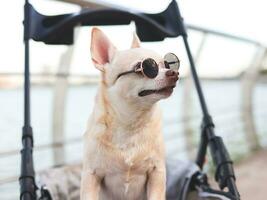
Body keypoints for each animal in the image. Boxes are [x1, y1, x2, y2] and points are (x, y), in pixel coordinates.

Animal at [80, 27, 180, 200]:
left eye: (168, 64)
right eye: (148, 67)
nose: (173, 72)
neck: (130, 122)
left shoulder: (157, 172)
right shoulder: (90, 175)